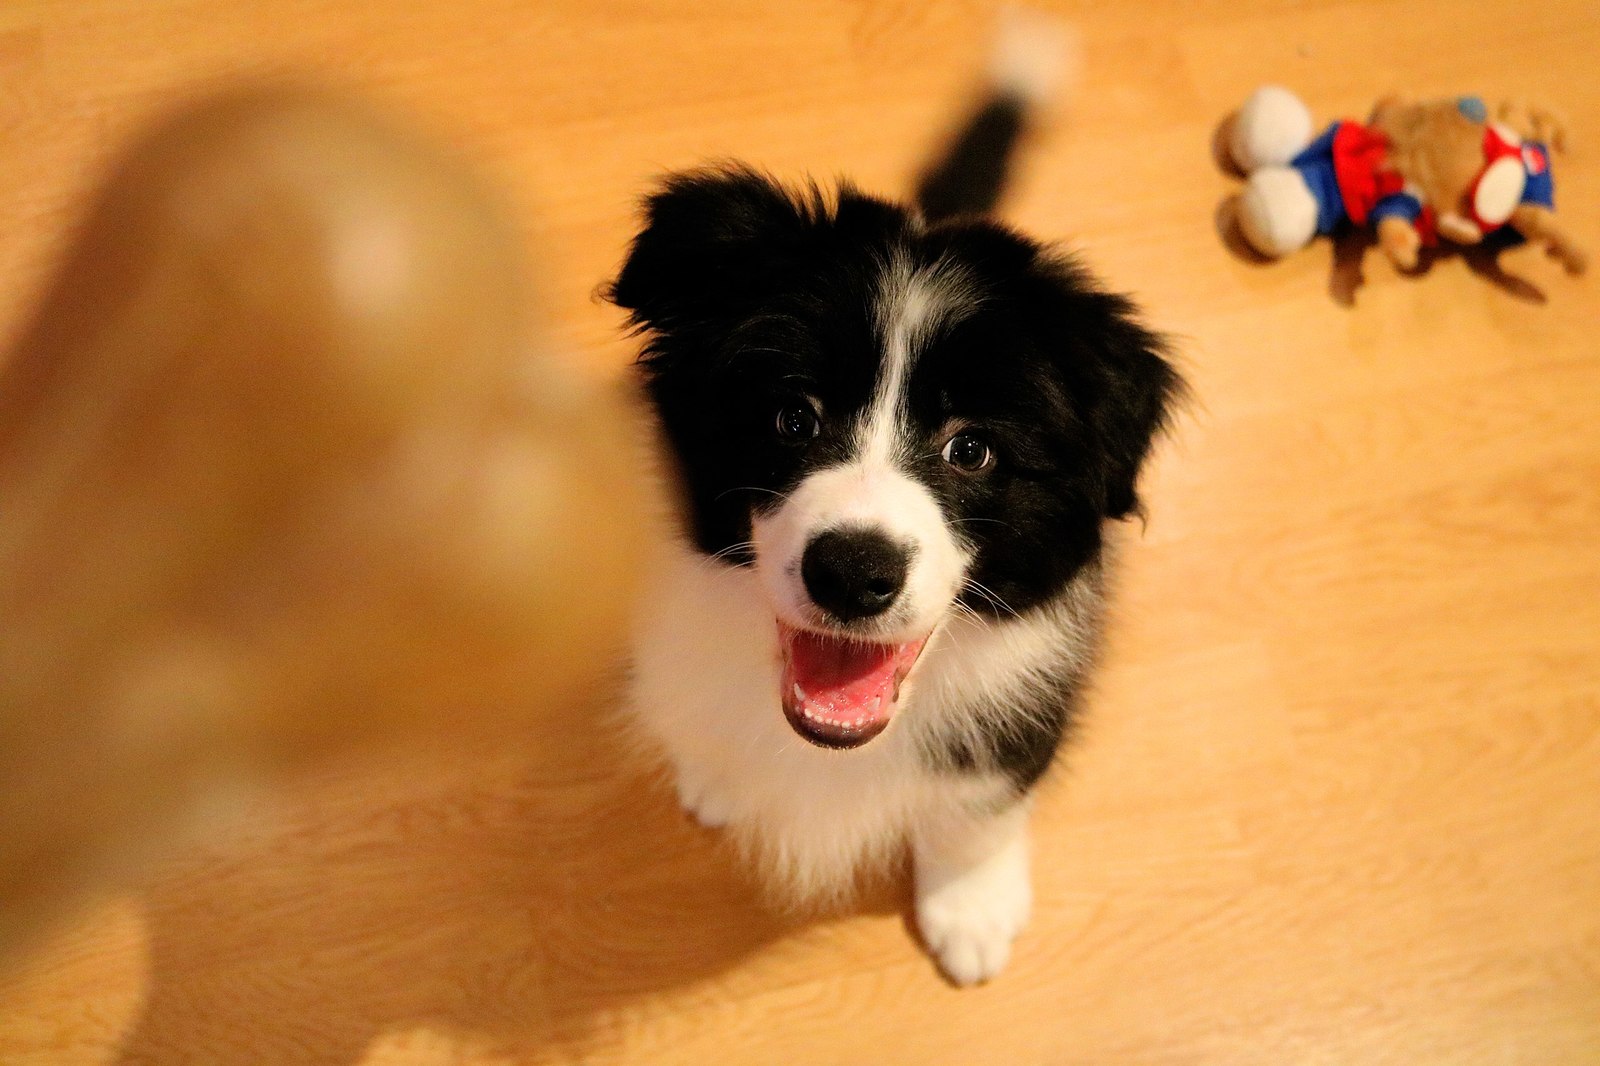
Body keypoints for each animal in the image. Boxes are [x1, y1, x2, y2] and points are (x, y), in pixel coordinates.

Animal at [604, 31, 1184, 979]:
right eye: (792, 417)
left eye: (972, 448)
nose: (852, 571)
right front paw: (715, 775)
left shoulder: (1020, 706)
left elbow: (979, 805)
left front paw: (971, 906)